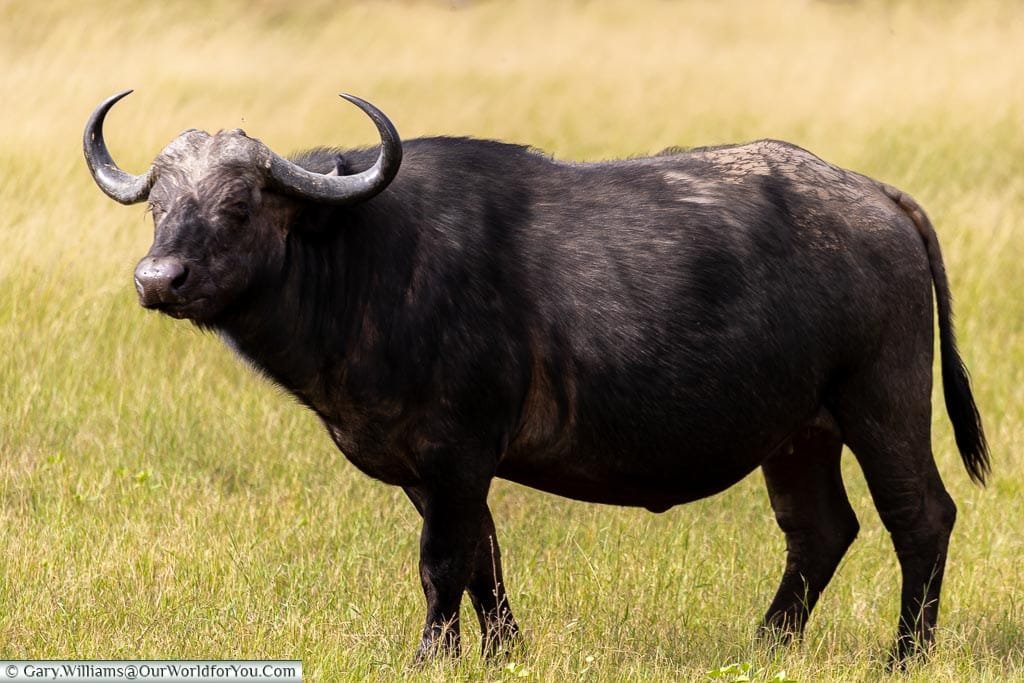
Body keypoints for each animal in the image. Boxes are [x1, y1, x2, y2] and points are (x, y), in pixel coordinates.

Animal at [86, 89, 983, 663]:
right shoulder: (435, 471)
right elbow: (483, 558)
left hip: (882, 400)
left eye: (239, 206)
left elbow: (443, 563)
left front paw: (432, 655)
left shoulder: (457, 454)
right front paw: (502, 649)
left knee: (920, 516)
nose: (157, 278)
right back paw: (768, 643)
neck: (368, 257)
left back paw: (906, 654)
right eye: (158, 206)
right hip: (797, 433)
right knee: (820, 530)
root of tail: (877, 197)